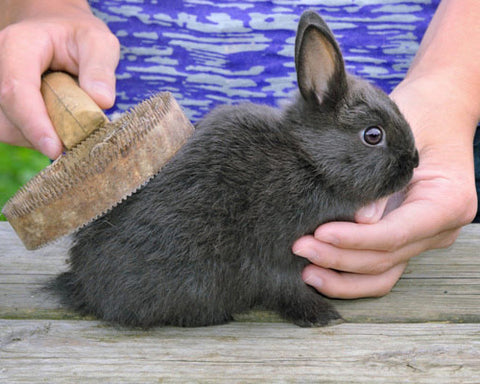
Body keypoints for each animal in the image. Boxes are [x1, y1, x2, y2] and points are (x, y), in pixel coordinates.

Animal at [47, 9, 418, 328]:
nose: (414, 162)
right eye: (373, 135)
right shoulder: (276, 252)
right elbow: (285, 287)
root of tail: (83, 285)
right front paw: (323, 315)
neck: (309, 162)